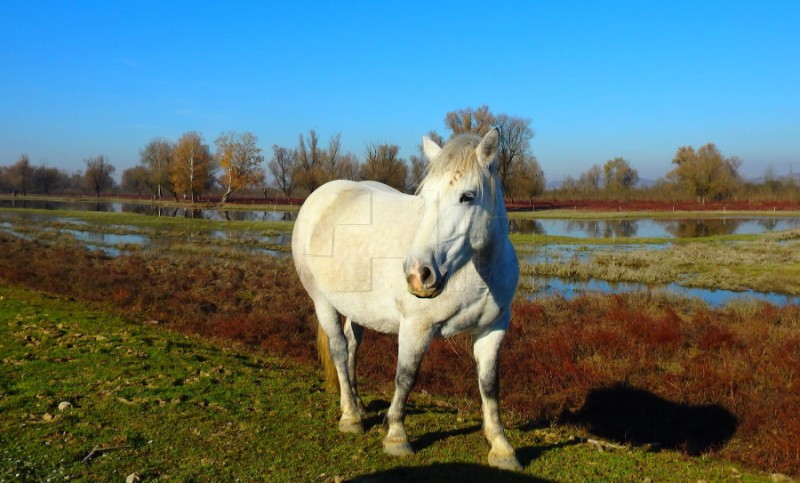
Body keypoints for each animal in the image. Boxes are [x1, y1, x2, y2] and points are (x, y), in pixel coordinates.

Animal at [290, 130, 520, 472]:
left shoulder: (492, 329)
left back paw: (358, 404)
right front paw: (396, 436)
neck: (475, 272)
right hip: (323, 302)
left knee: (352, 346)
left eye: (467, 196)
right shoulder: (416, 328)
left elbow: (490, 384)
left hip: (358, 308)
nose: (418, 274)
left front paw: (502, 447)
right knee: (339, 351)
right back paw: (350, 416)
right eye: (424, 198)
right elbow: (406, 376)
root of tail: (322, 195)